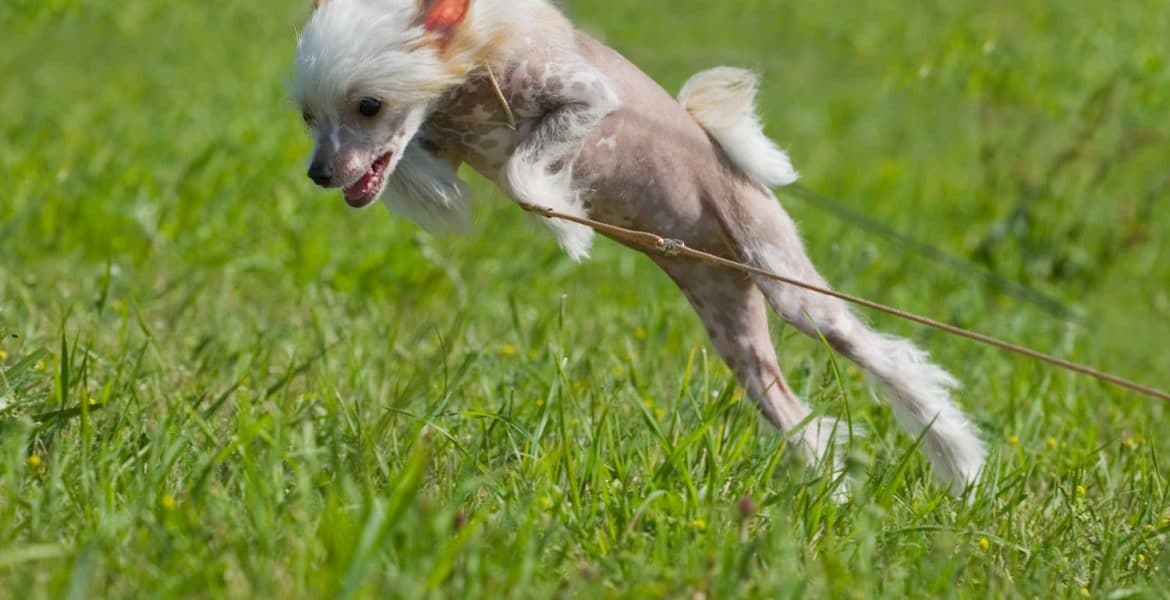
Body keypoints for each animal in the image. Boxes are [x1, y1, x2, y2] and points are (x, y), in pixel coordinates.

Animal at [292, 0, 987, 493]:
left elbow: (524, 168)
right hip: (729, 318)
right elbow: (423, 164)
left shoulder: (582, 98)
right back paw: (833, 494)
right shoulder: (436, 139)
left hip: (787, 282)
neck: (473, 62)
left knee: (887, 356)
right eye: (308, 117)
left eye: (369, 105)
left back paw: (957, 458)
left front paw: (567, 223)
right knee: (794, 414)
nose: (319, 174)